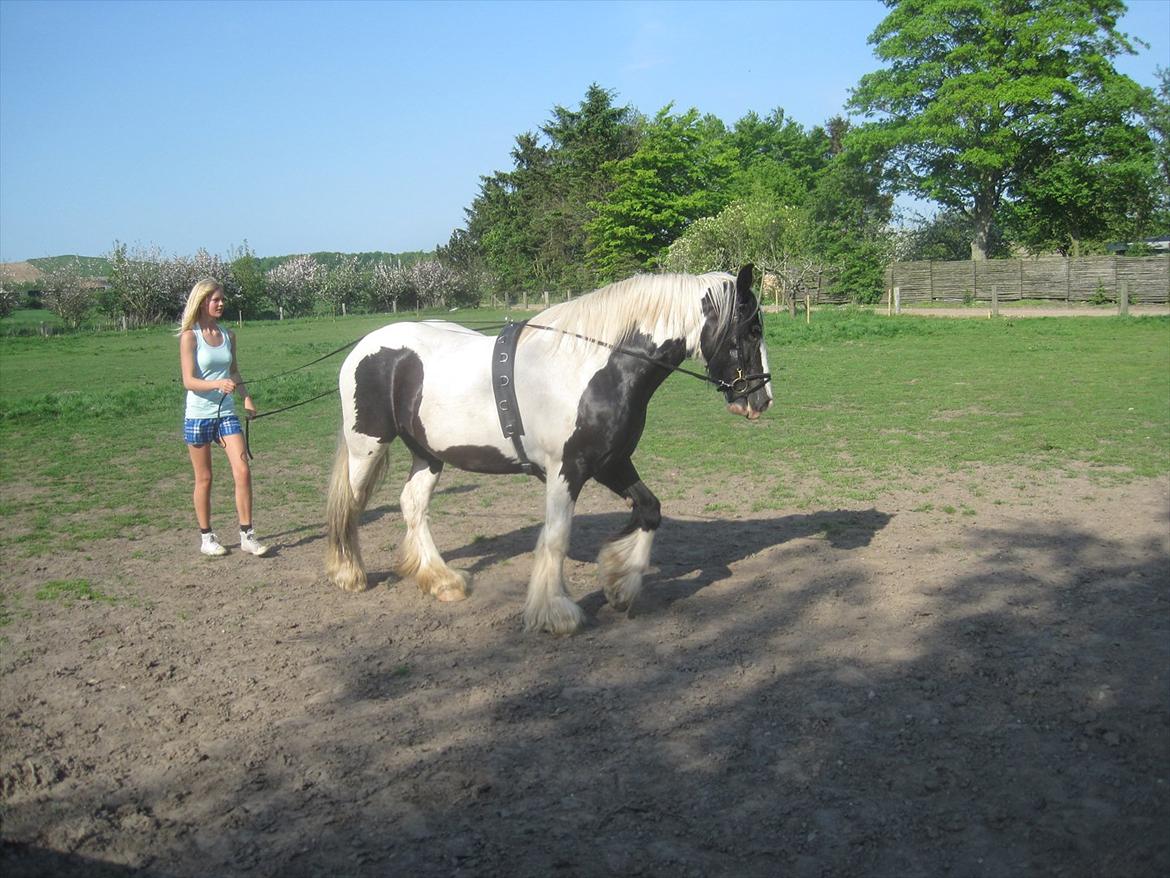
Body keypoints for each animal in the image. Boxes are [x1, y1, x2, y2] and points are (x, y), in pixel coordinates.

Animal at [325, 264, 772, 636]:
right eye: (752, 330)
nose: (761, 399)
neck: (595, 368)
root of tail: (364, 346)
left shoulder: (611, 463)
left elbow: (649, 510)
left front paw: (620, 585)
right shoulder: (566, 470)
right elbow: (556, 538)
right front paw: (555, 613)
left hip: (429, 454)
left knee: (412, 505)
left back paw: (441, 580)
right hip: (367, 448)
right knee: (351, 504)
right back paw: (349, 574)